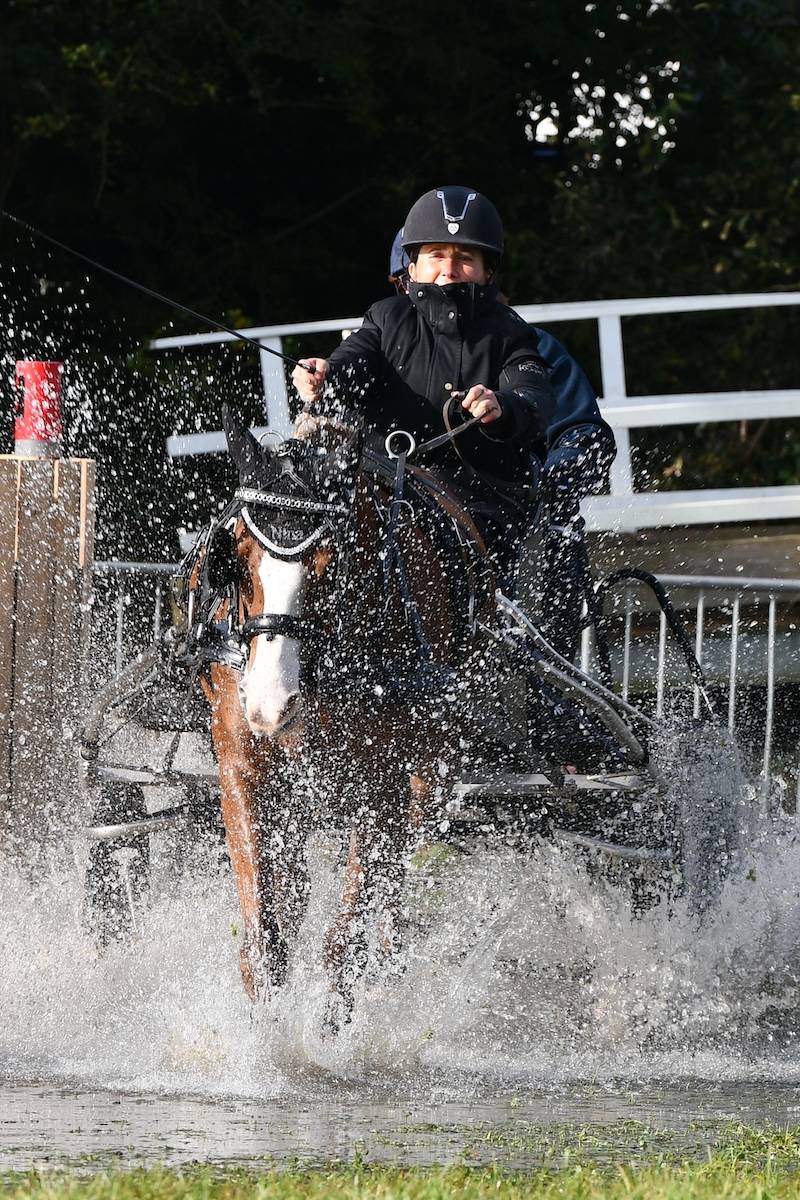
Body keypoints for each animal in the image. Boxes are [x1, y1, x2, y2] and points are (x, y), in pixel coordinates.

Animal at [189, 404, 494, 1028]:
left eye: (333, 564)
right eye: (238, 559)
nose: (270, 703)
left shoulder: (382, 784)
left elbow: (345, 937)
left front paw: (330, 1030)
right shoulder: (242, 767)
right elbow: (265, 934)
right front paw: (264, 1034)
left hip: (431, 769)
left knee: (396, 875)